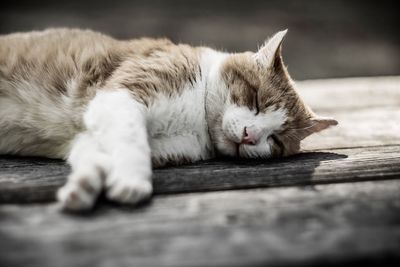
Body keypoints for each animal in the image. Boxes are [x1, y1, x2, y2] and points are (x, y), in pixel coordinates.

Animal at [0, 27, 338, 211]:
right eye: (255, 100)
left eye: (275, 140)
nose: (249, 135)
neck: (198, 121)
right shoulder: (120, 97)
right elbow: (132, 141)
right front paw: (131, 183)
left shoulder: (97, 135)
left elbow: (96, 157)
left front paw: (83, 187)